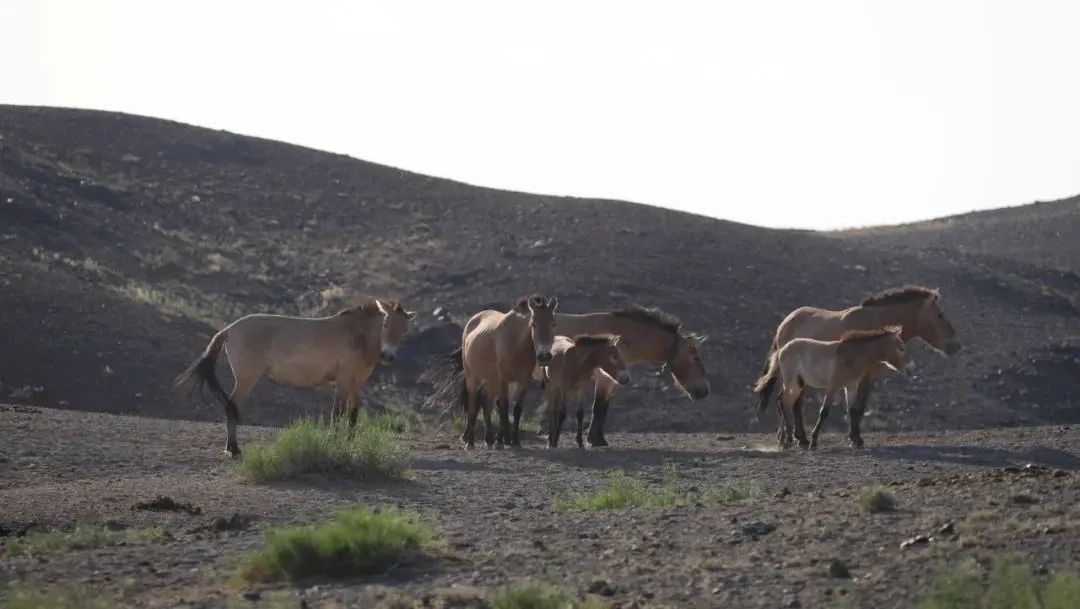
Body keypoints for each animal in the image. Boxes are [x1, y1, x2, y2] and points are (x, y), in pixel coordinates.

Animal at [177, 300, 412, 457]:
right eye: (385, 324)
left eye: (404, 329)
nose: (388, 355)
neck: (357, 335)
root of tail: (228, 329)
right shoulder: (344, 381)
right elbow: (337, 413)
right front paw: (333, 442)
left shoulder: (357, 383)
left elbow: (353, 415)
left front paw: (350, 443)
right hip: (246, 380)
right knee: (231, 406)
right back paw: (233, 449)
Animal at [457, 293, 557, 447]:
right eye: (533, 324)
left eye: (553, 324)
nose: (544, 356)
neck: (517, 344)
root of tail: (473, 320)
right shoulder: (504, 379)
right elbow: (504, 406)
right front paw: (502, 441)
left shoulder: (523, 381)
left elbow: (516, 409)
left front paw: (515, 440)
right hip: (472, 376)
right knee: (473, 403)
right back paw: (470, 442)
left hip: (491, 380)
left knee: (486, 402)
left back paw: (488, 439)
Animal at [509, 306, 712, 444]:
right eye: (695, 358)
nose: (704, 391)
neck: (624, 334)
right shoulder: (604, 378)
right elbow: (598, 407)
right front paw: (594, 440)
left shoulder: (612, 380)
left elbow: (604, 408)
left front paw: (597, 438)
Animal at [756, 326, 907, 449]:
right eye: (900, 347)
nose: (902, 368)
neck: (853, 355)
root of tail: (782, 349)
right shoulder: (833, 386)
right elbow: (824, 412)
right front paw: (814, 442)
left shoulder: (851, 387)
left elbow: (852, 411)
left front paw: (856, 441)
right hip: (791, 383)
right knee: (784, 403)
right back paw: (788, 440)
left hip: (797, 384)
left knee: (783, 402)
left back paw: (784, 441)